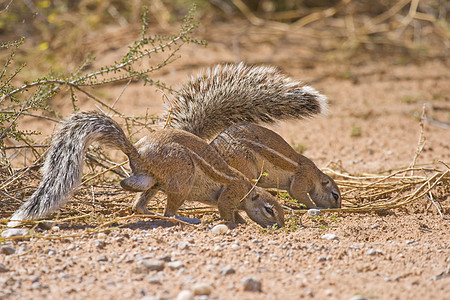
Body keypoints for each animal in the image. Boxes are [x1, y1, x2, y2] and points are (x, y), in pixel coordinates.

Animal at [7, 112, 284, 227]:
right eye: (269, 210)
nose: (280, 226)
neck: (248, 189)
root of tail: (138, 152)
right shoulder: (229, 195)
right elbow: (227, 211)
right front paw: (238, 223)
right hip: (181, 177)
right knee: (169, 211)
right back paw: (187, 218)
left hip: (154, 181)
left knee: (136, 201)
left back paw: (147, 209)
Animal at [169, 62, 342, 209]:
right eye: (335, 195)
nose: (338, 208)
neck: (315, 174)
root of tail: (209, 149)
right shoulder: (302, 178)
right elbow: (299, 193)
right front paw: (314, 206)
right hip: (245, 166)